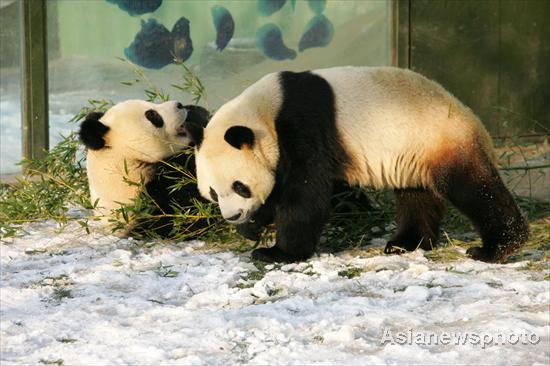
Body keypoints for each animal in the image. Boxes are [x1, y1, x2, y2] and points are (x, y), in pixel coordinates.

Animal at [189, 66, 532, 264]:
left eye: (239, 186)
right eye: (213, 193)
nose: (233, 215)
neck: (265, 111)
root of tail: (477, 124)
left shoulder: (304, 127)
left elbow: (306, 193)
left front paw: (276, 253)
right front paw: (252, 227)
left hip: (441, 138)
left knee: (474, 189)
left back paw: (498, 246)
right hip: (414, 153)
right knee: (416, 198)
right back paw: (405, 243)